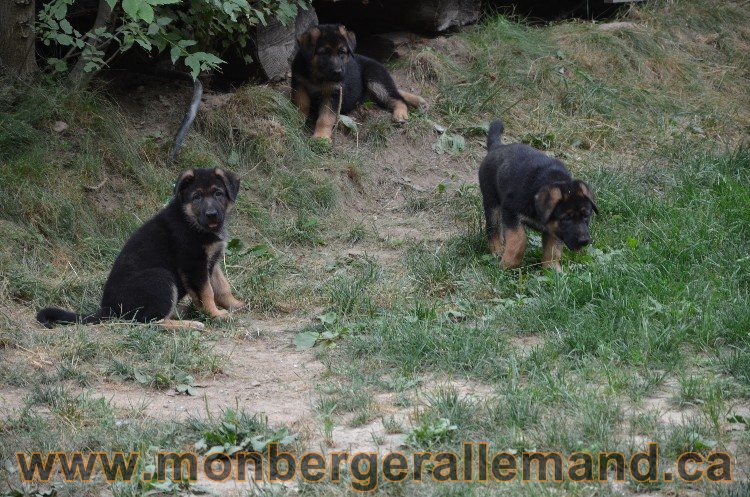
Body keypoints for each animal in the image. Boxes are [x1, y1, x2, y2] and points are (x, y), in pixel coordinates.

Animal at [36, 168, 245, 330]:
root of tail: (110, 309)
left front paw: (235, 305)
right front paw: (216, 314)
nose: (212, 215)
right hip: (161, 278)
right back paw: (189, 324)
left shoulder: (212, 261)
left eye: (218, 193)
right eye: (197, 197)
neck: (190, 220)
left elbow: (222, 286)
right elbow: (207, 292)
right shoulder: (193, 264)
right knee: (150, 321)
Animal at [290, 23, 426, 140]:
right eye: (324, 53)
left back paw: (400, 114)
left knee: (397, 98)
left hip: (375, 78)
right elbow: (301, 105)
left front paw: (321, 137)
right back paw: (419, 101)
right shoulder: (299, 85)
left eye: (342, 52)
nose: (338, 72)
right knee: (397, 92)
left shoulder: (334, 93)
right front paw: (296, 120)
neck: (317, 76)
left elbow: (325, 117)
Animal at [482, 119, 600, 272]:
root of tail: (497, 147)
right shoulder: (510, 211)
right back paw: (497, 250)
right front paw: (509, 264)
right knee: (493, 229)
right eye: (566, 218)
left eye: (586, 215)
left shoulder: (554, 230)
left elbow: (553, 250)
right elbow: (519, 239)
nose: (584, 241)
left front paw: (552, 270)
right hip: (492, 203)